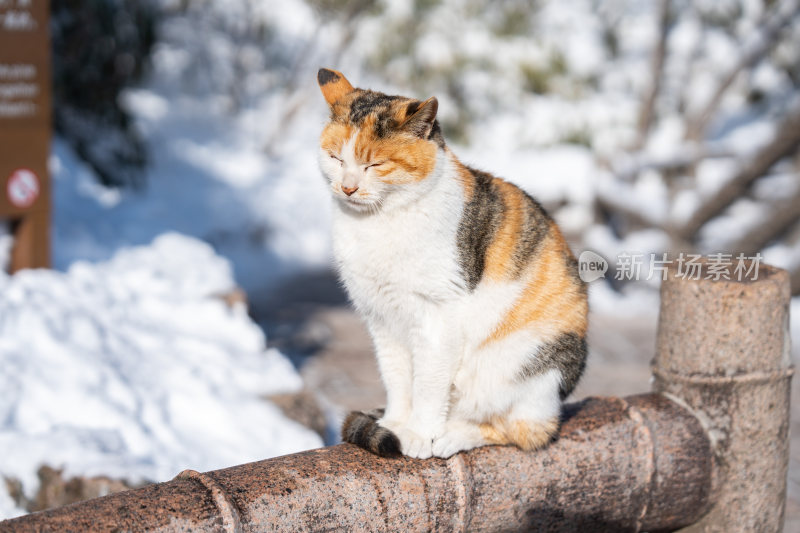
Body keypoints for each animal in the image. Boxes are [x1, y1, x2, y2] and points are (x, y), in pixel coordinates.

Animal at [318, 67, 588, 458]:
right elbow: (397, 379)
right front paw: (394, 425)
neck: (375, 223)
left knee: (526, 431)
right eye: (336, 158)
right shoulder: (381, 319)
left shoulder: (437, 317)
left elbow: (428, 384)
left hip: (522, 367)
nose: (348, 188)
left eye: (375, 164)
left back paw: (451, 434)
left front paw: (419, 434)